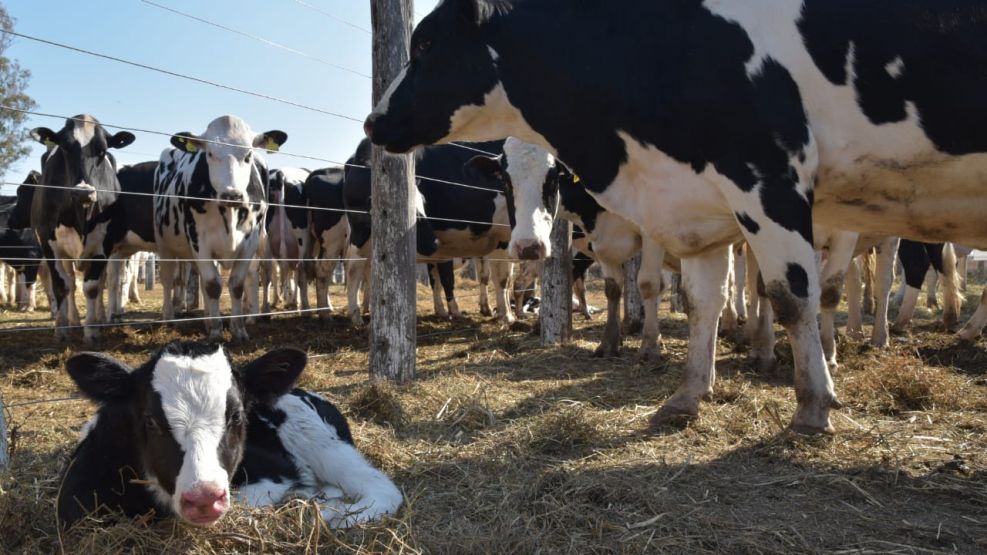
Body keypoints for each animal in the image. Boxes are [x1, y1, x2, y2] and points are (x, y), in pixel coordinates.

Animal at [30, 115, 136, 340]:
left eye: (102, 150)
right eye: (64, 147)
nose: (83, 193)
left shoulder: (103, 245)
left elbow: (93, 287)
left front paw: (93, 329)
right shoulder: (49, 243)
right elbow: (61, 285)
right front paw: (61, 329)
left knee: (100, 282)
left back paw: (100, 318)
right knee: (70, 283)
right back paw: (73, 321)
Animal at [58, 344, 404, 528]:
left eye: (236, 416)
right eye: (151, 421)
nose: (204, 498)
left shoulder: (275, 474)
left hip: (318, 440)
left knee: (381, 486)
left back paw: (335, 513)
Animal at [154, 116, 284, 340]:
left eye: (248, 154)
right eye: (209, 153)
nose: (232, 194)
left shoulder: (250, 241)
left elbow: (237, 284)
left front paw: (238, 329)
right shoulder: (199, 241)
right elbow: (212, 285)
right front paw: (216, 331)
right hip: (166, 245)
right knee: (169, 277)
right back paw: (171, 318)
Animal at [364, 0, 987, 434]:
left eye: (425, 43)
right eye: (503, 180)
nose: (372, 122)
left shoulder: (768, 180)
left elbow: (789, 294)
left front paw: (813, 403)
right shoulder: (699, 207)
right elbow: (697, 299)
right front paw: (683, 390)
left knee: (867, 282)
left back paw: (873, 335)